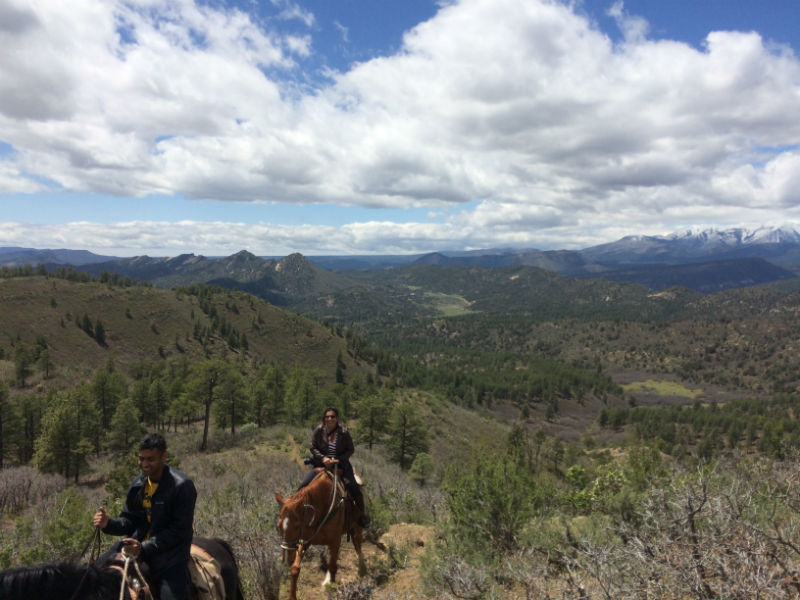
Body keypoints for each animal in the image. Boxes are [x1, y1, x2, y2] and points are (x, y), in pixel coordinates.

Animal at [276, 468, 362, 600]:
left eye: (297, 526)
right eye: (278, 526)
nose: (285, 559)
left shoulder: (336, 540)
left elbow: (332, 565)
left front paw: (331, 588)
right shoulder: (304, 541)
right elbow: (295, 569)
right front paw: (292, 596)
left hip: (357, 526)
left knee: (358, 542)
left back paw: (362, 567)